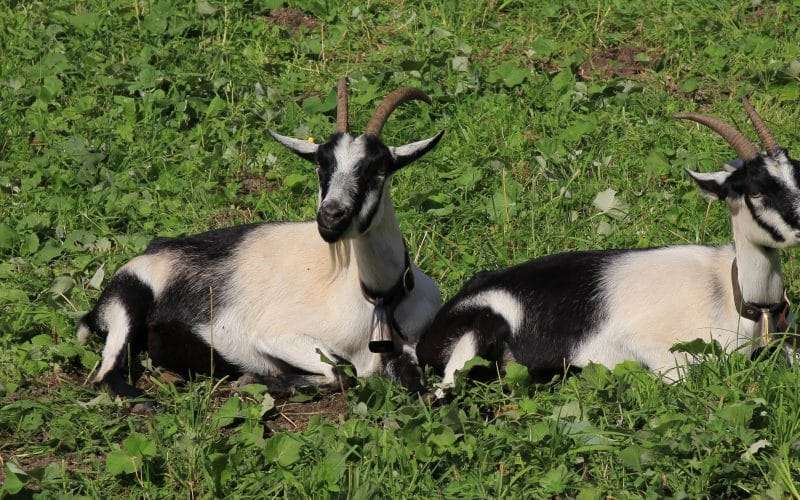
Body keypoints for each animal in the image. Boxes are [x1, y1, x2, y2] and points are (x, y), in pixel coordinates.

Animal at [78, 79, 443, 397]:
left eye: (378, 169)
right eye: (321, 166)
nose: (330, 217)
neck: (376, 297)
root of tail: (156, 250)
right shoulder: (274, 335)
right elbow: (338, 373)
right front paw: (254, 379)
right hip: (128, 298)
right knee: (105, 374)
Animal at [417, 98, 795, 394]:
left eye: (797, 174)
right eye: (754, 190)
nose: (799, 228)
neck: (730, 294)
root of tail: (431, 332)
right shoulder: (657, 352)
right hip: (477, 332)